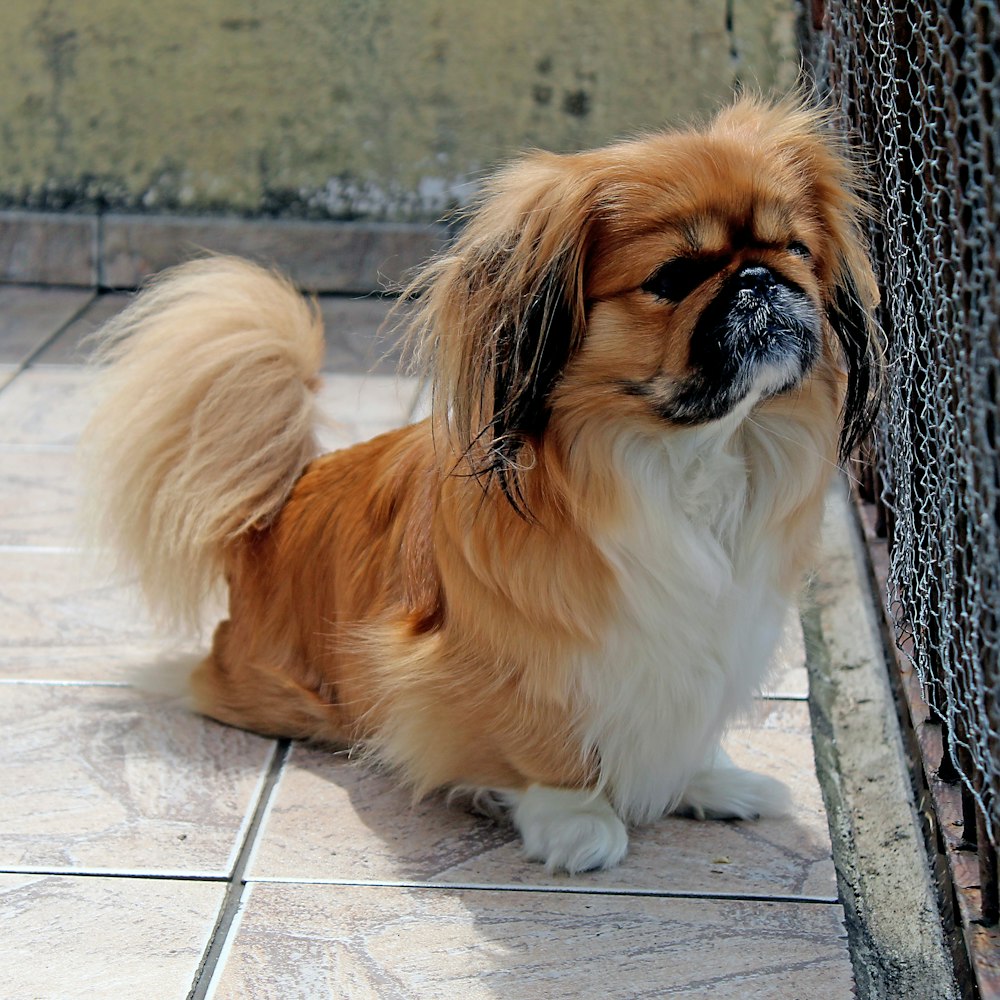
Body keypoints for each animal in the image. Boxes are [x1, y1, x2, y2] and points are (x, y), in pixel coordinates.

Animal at [86, 95, 884, 876]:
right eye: (673, 278)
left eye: (796, 251)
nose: (759, 280)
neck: (692, 451)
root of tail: (277, 509)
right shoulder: (511, 655)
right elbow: (540, 740)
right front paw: (575, 821)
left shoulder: (717, 633)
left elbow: (690, 718)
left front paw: (710, 780)